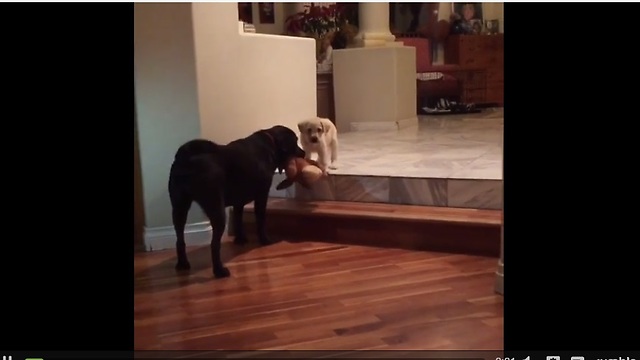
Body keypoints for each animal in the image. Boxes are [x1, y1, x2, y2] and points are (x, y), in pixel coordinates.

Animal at [166, 126, 304, 278]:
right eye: (295, 142)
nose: (303, 153)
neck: (271, 143)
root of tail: (187, 158)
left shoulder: (239, 201)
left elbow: (238, 219)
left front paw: (240, 239)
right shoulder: (261, 196)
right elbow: (260, 219)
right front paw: (264, 240)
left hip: (179, 208)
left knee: (180, 239)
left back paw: (183, 264)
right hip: (216, 209)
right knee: (214, 245)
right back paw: (219, 271)